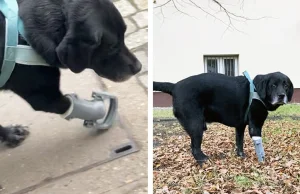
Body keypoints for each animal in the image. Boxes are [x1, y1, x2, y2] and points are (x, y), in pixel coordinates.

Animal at [0, 0, 142, 146]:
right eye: (112, 46)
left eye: (124, 35)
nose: (139, 67)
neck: (23, 36)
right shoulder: (46, 98)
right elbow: (75, 105)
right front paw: (100, 112)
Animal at [154, 72, 294, 164]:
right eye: (273, 85)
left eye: (286, 85)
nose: (282, 95)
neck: (257, 90)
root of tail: (174, 86)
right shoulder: (255, 127)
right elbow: (259, 148)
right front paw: (262, 161)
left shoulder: (240, 127)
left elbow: (239, 143)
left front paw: (240, 155)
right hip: (196, 125)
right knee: (194, 148)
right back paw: (203, 160)